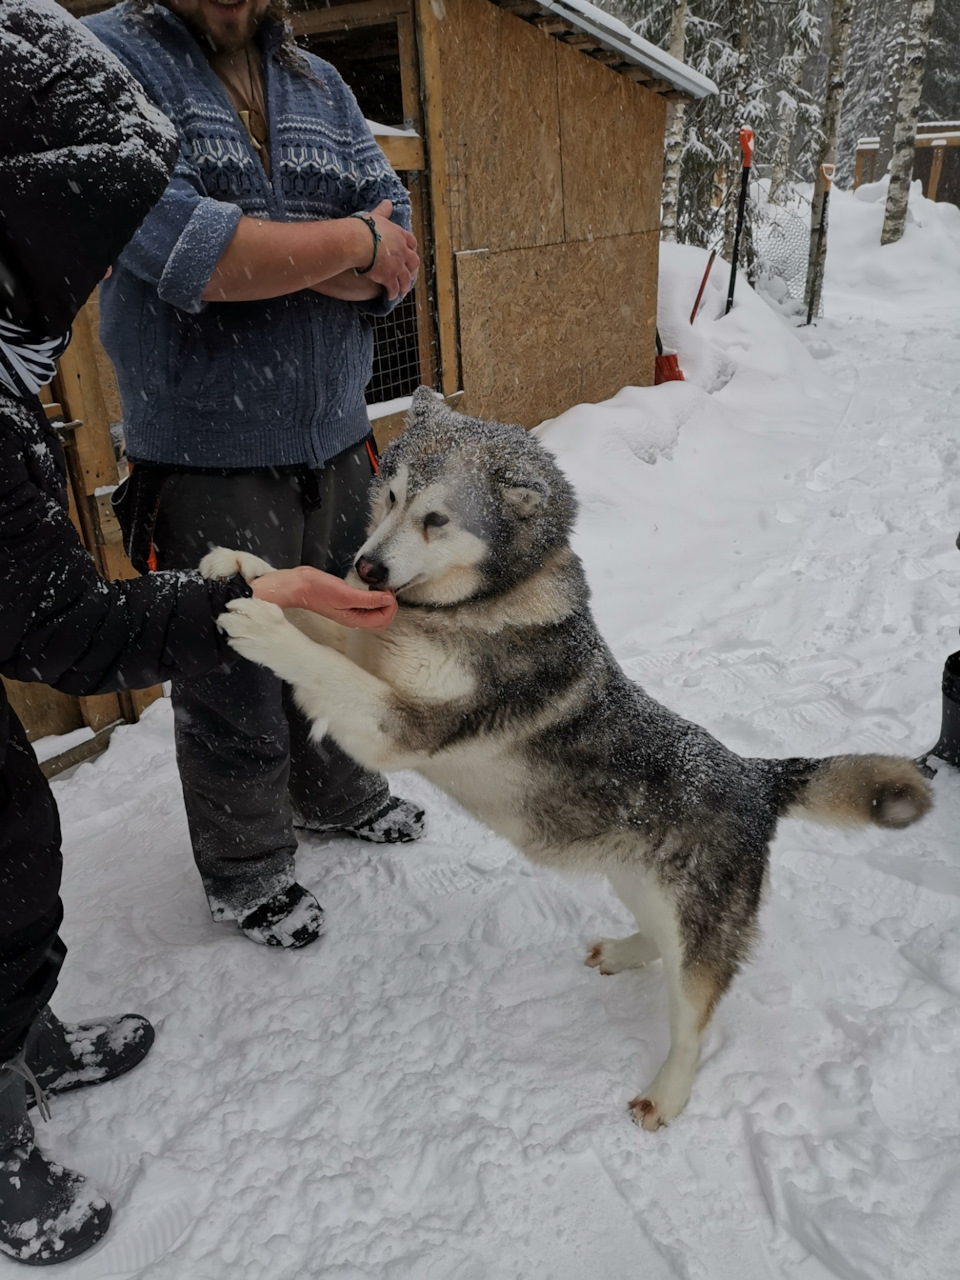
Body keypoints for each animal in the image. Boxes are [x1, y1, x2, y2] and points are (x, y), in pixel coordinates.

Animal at [200, 386, 931, 1131]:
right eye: (392, 495)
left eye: (436, 519)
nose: (368, 567)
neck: (477, 605)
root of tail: (758, 778)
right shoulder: (375, 646)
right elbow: (324, 620)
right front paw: (243, 570)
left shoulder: (401, 723)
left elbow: (320, 661)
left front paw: (261, 625)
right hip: (635, 877)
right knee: (657, 939)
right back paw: (626, 951)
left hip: (697, 931)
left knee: (693, 1021)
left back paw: (666, 1093)